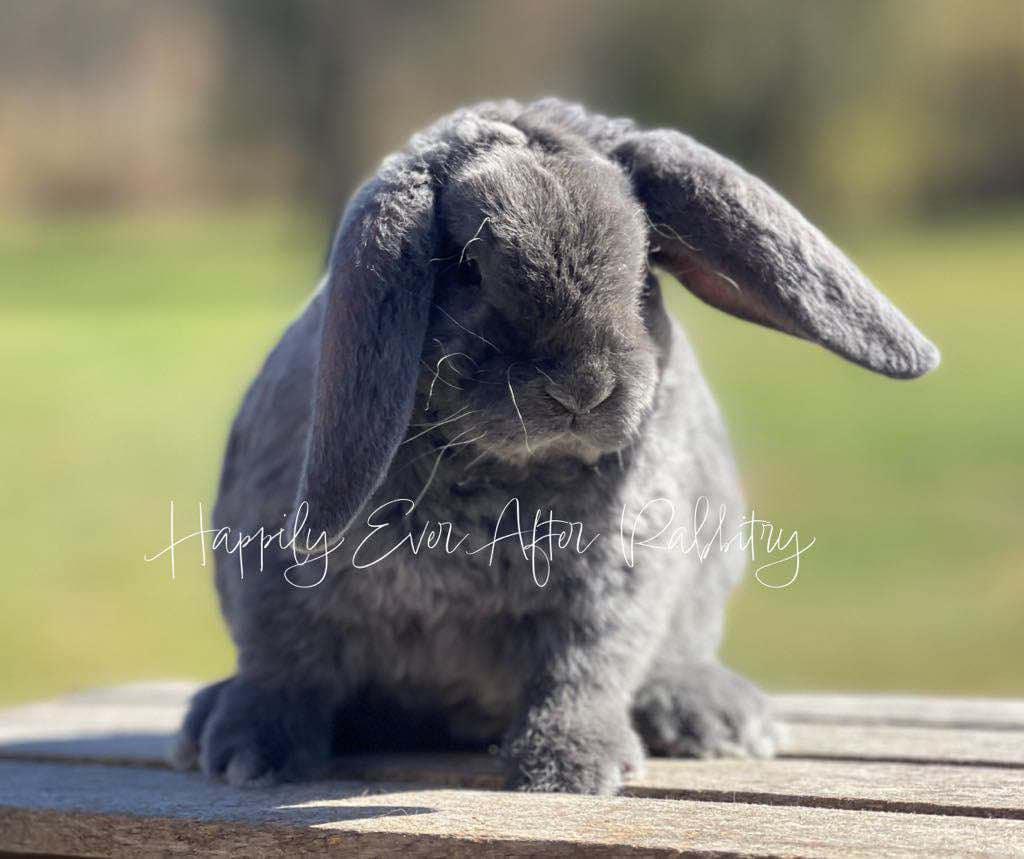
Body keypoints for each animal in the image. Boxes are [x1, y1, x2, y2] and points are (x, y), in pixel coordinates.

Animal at [172, 99, 937, 794]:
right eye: (469, 268)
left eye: (644, 269)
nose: (585, 387)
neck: (498, 473)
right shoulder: (275, 581)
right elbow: (286, 666)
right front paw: (254, 757)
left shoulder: (615, 584)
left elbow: (583, 669)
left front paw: (571, 769)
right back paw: (205, 721)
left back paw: (713, 718)